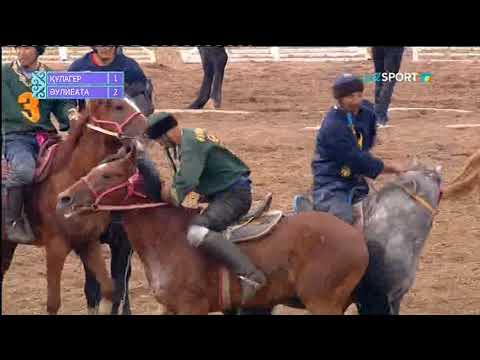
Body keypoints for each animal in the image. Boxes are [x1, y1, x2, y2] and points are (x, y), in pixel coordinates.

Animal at [1, 98, 146, 316]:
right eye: (118, 106)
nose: (148, 126)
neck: (70, 177)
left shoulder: (88, 242)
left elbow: (108, 289)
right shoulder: (56, 247)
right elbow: (53, 303)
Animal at [57, 144, 372, 316]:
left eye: (107, 176)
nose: (64, 198)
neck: (166, 236)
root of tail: (357, 236)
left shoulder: (191, 308)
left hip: (323, 303)